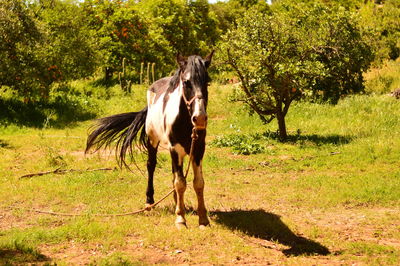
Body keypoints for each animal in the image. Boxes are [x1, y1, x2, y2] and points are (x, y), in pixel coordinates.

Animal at [86, 52, 214, 229]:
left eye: (207, 81)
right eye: (186, 82)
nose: (200, 118)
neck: (185, 122)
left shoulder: (198, 149)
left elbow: (198, 182)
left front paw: (203, 219)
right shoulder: (175, 149)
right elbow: (180, 183)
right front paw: (180, 219)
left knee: (175, 173)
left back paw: (176, 201)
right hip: (153, 141)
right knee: (151, 166)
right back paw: (149, 202)